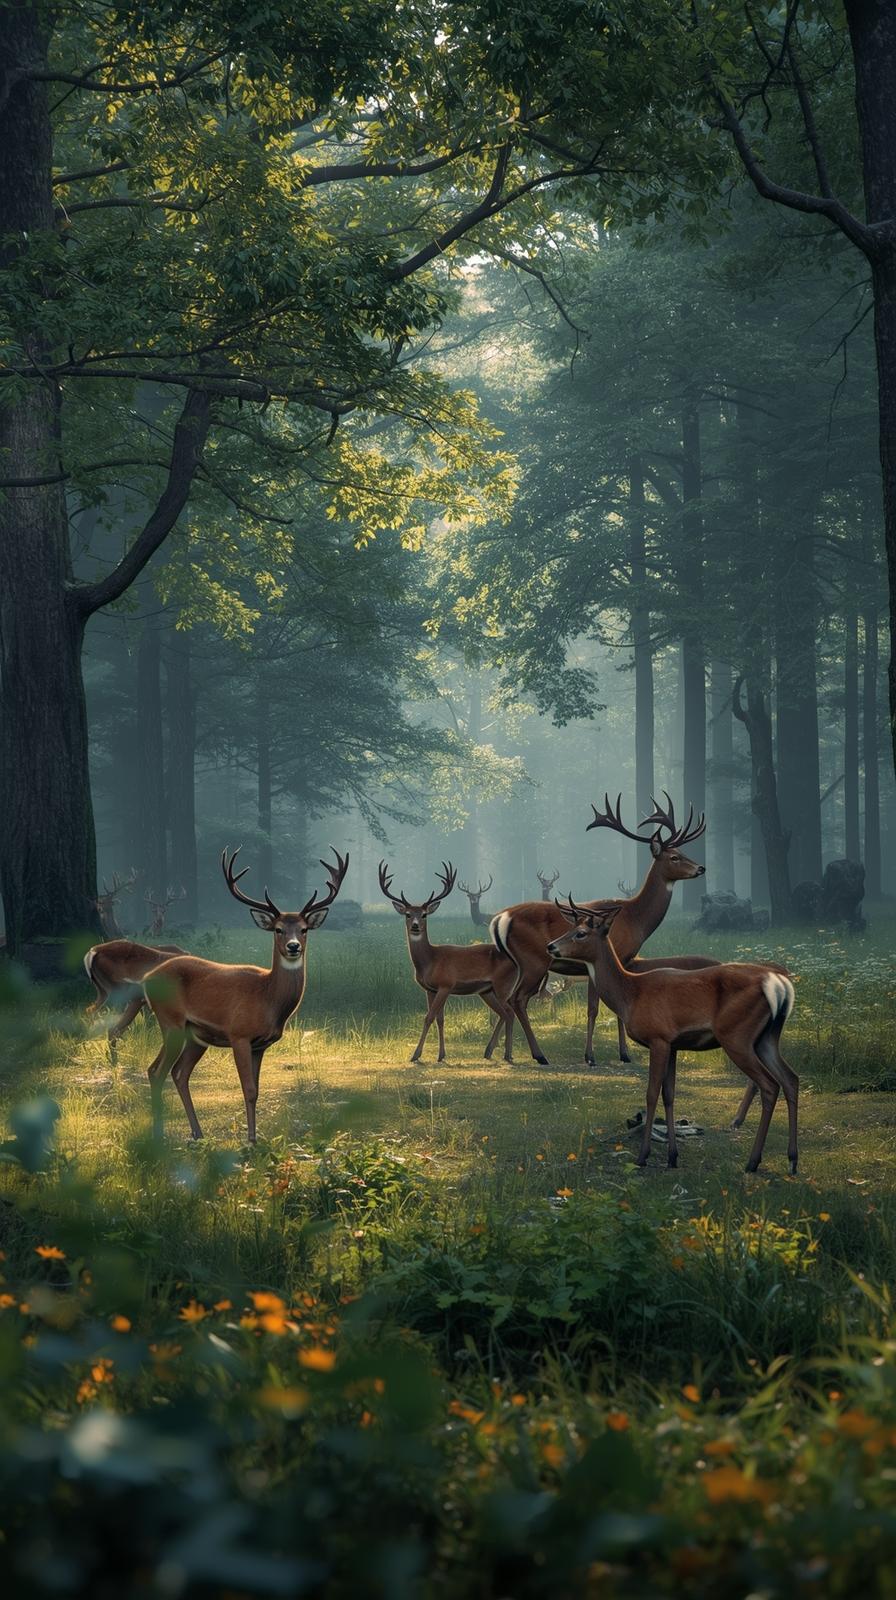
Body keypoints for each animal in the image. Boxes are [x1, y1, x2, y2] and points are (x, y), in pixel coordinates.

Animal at [142, 846, 349, 1143]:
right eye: (278, 929)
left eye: (304, 929)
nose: (293, 946)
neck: (267, 998)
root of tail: (147, 979)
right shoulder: (238, 1034)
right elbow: (248, 1089)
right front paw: (250, 1140)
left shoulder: (260, 1045)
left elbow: (257, 1090)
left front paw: (255, 1136)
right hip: (171, 1021)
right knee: (157, 1071)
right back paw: (159, 1135)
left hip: (195, 1036)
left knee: (178, 1073)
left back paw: (197, 1133)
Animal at [379, 861, 520, 1064]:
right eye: (407, 914)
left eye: (424, 914)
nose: (415, 926)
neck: (430, 960)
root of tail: (516, 960)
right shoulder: (430, 989)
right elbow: (440, 1019)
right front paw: (440, 1055)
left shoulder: (446, 984)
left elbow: (429, 1017)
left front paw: (416, 1054)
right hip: (487, 991)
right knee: (504, 1013)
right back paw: (490, 1051)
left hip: (502, 985)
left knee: (509, 1012)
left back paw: (507, 1054)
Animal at [488, 794, 715, 1067]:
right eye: (674, 857)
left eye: (682, 851)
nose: (701, 868)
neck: (635, 919)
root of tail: (501, 918)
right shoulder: (609, 956)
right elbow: (594, 1009)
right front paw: (592, 1056)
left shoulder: (623, 961)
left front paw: (623, 1054)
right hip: (534, 960)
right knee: (518, 999)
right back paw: (539, 1054)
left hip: (516, 963)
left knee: (508, 1000)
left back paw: (505, 1052)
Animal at [547, 898, 798, 1174]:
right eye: (571, 928)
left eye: (580, 933)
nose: (550, 946)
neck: (630, 994)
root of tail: (780, 984)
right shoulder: (674, 1044)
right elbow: (669, 1095)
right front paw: (672, 1156)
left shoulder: (658, 1038)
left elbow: (651, 1094)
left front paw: (643, 1155)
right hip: (766, 1038)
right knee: (791, 1079)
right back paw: (792, 1160)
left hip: (737, 1035)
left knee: (769, 1085)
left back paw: (753, 1161)